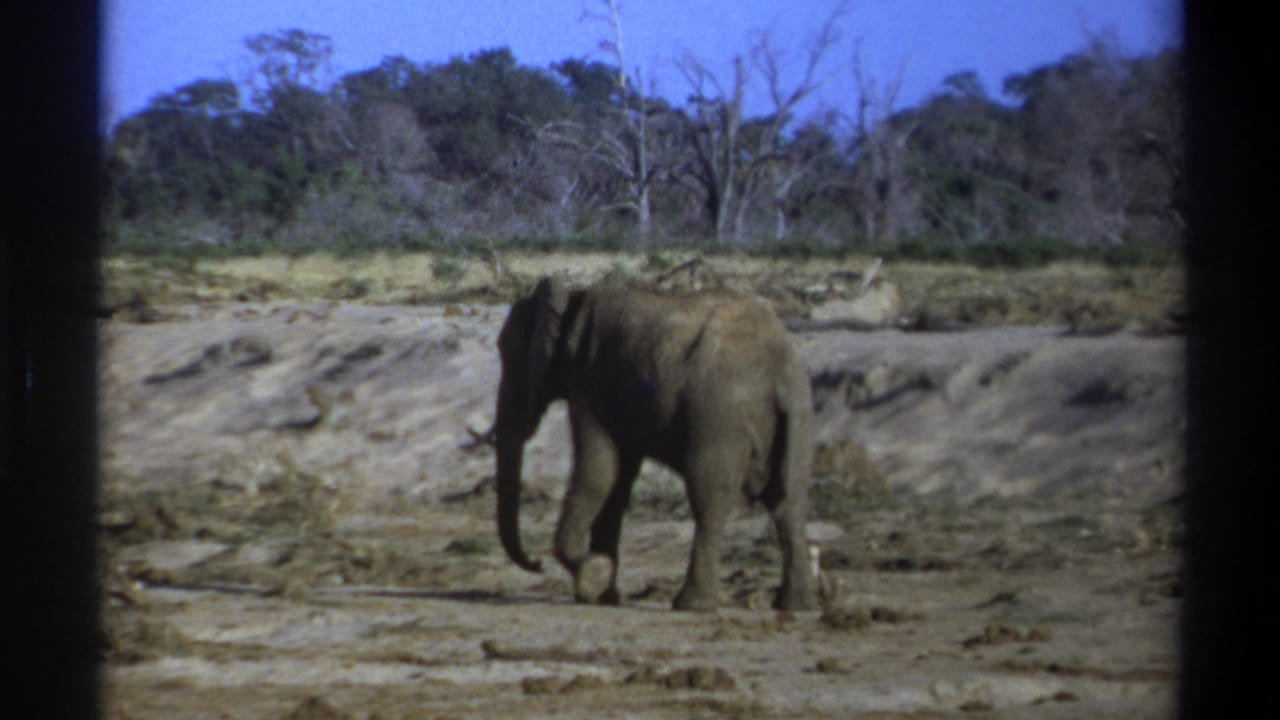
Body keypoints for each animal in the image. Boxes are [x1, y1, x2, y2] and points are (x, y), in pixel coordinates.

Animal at [489, 276, 818, 611]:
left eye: (508, 354)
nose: (537, 564)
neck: (572, 297)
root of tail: (780, 372)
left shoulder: (589, 380)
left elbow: (599, 471)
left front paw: (593, 576)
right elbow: (619, 481)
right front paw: (604, 595)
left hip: (720, 419)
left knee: (710, 498)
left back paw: (692, 604)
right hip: (800, 417)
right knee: (789, 502)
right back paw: (797, 605)